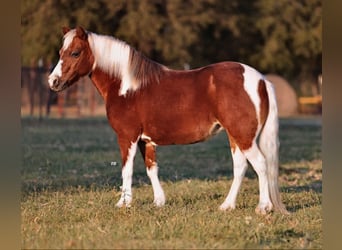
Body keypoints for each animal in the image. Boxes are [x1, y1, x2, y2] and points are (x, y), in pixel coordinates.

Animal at [48, 26, 288, 215]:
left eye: (75, 53)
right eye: (60, 52)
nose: (53, 81)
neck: (127, 86)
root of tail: (261, 79)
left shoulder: (127, 137)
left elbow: (127, 169)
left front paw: (124, 203)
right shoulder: (145, 140)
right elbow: (151, 169)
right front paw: (159, 201)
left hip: (243, 136)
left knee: (260, 164)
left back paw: (263, 207)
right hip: (235, 136)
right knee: (240, 167)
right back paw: (227, 206)